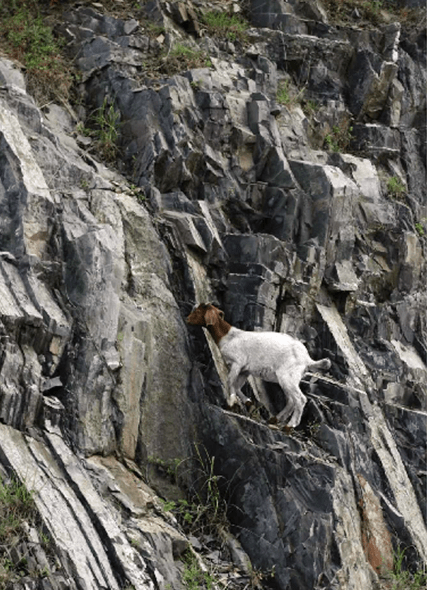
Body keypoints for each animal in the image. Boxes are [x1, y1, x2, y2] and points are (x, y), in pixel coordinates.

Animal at [186, 306, 332, 430]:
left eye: (198, 311)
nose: (187, 319)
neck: (228, 337)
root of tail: (307, 359)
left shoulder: (237, 363)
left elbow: (229, 382)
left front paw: (231, 403)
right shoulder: (244, 370)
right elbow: (237, 385)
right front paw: (247, 402)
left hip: (287, 377)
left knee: (300, 399)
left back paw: (289, 426)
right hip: (289, 380)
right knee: (291, 400)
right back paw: (275, 419)